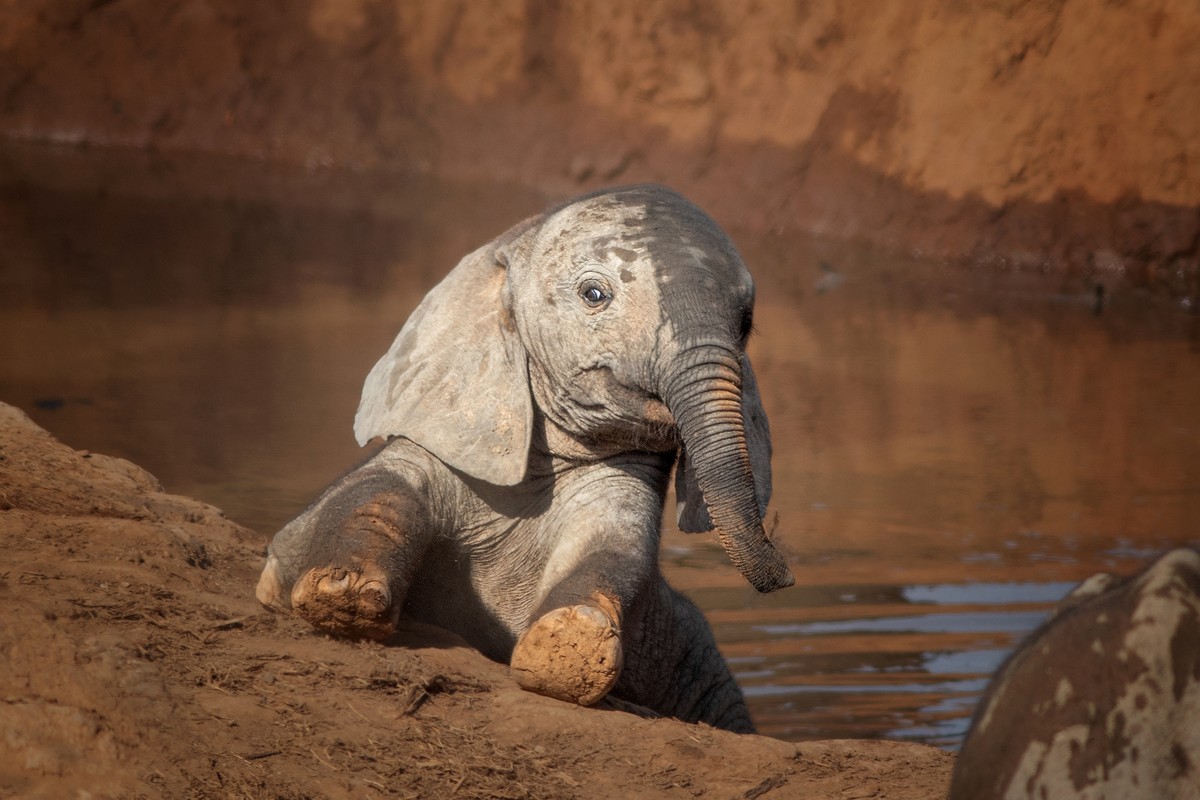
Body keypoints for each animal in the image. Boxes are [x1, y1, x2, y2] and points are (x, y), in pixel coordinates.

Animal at [254, 183, 796, 734]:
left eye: (746, 323)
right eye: (594, 294)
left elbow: (611, 549)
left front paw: (568, 648)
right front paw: (343, 594)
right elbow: (378, 489)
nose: (785, 574)